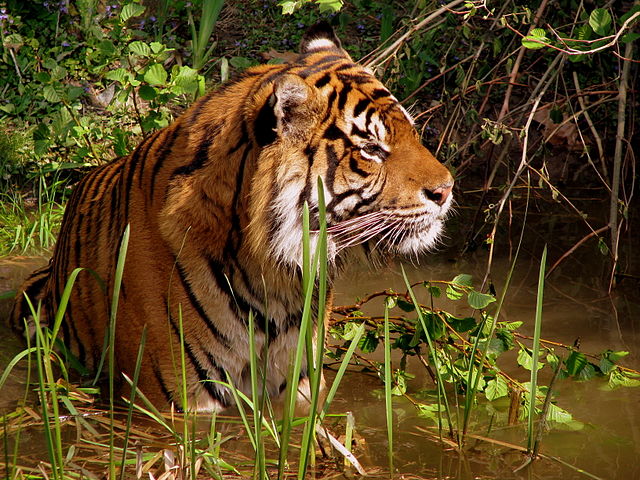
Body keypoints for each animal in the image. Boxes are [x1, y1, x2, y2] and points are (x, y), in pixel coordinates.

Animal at [10, 22, 454, 412]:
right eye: (372, 149)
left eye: (412, 133)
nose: (447, 190)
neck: (275, 274)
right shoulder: (174, 400)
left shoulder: (298, 387)